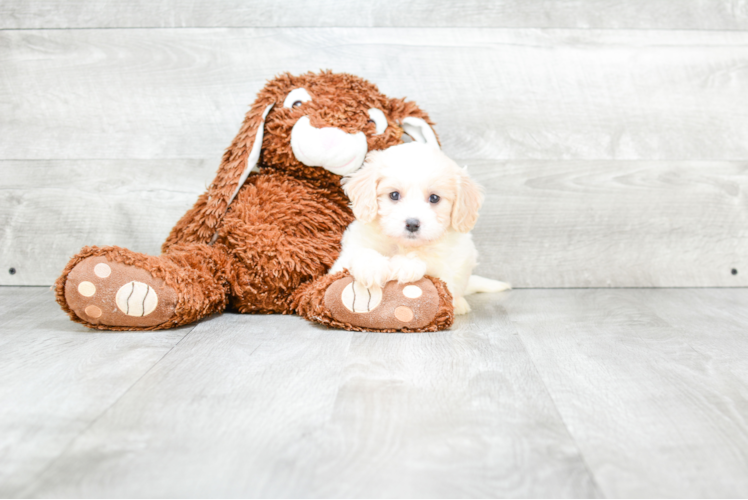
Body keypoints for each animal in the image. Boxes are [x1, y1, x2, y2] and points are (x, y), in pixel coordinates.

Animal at [330, 143, 512, 312]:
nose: (412, 224)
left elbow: (427, 257)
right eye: (394, 195)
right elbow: (360, 252)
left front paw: (406, 264)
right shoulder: (345, 258)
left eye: (434, 198)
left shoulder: (445, 263)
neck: (402, 245)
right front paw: (371, 266)